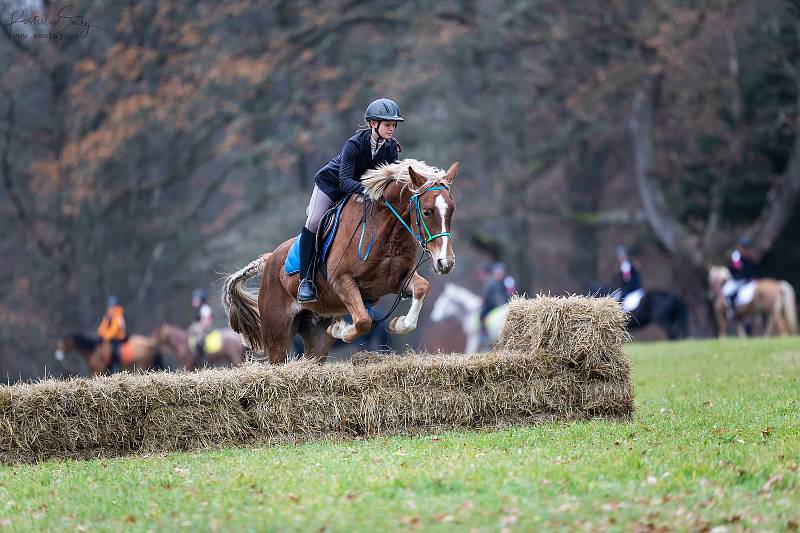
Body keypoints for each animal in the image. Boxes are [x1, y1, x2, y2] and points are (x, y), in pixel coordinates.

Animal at [225, 158, 460, 364]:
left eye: (452, 210)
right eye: (427, 212)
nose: (445, 262)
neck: (387, 232)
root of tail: (269, 259)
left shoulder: (399, 279)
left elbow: (421, 288)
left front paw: (398, 323)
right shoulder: (342, 281)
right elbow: (363, 321)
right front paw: (341, 330)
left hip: (316, 334)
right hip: (277, 333)